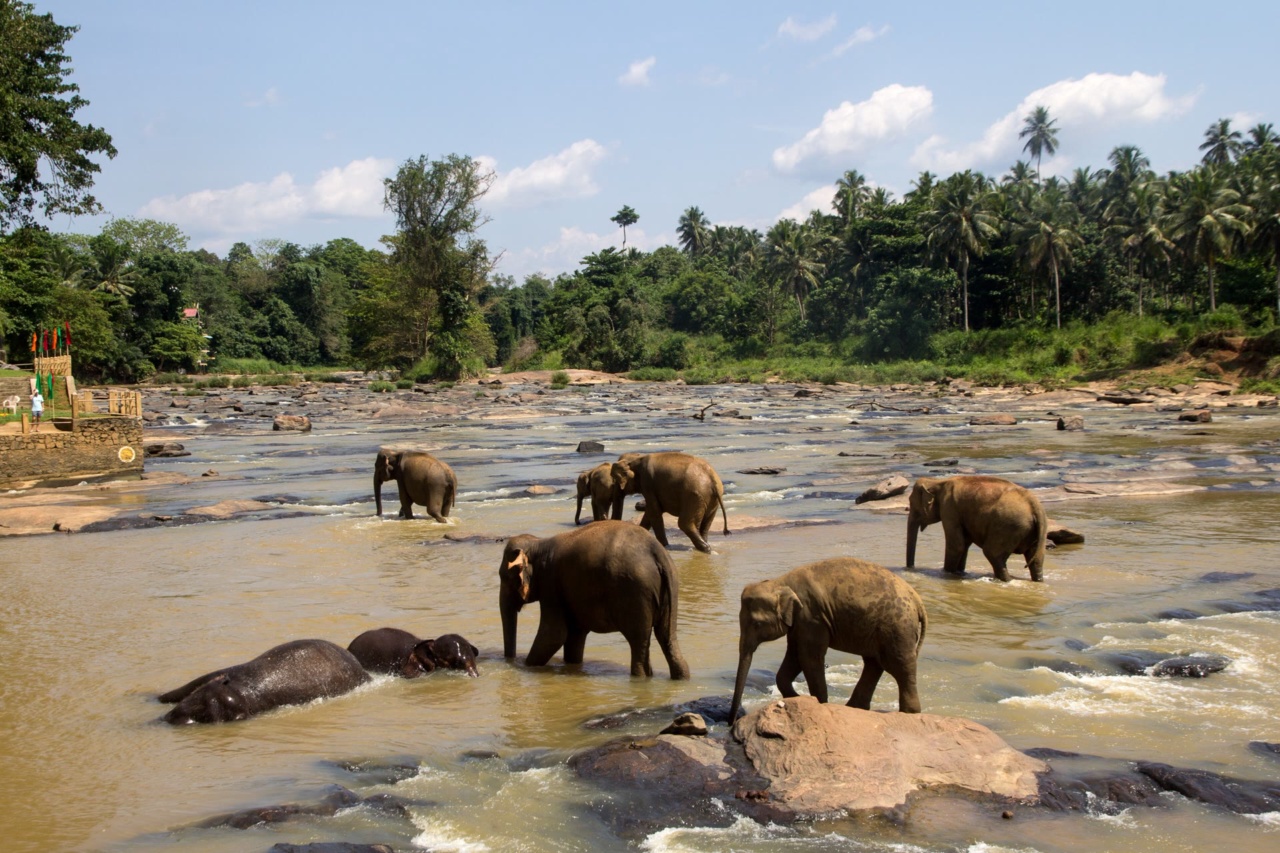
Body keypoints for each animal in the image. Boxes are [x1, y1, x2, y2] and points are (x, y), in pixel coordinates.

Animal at [499, 520, 690, 679]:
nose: (509, 662)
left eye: (504, 577)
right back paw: (681, 677)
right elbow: (574, 635)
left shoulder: (551, 586)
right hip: (670, 587)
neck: (538, 543)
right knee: (667, 636)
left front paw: (525, 666)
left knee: (638, 641)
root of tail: (657, 551)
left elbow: (554, 634)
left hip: (635, 592)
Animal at [728, 558, 927, 722]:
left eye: (757, 623)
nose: (731, 723)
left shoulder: (811, 617)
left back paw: (909, 713)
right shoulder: (800, 623)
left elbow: (809, 658)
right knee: (874, 663)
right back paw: (854, 708)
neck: (780, 582)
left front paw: (819, 703)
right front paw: (796, 698)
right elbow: (794, 656)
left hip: (898, 629)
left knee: (900, 667)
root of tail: (918, 600)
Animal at [905, 475, 1047, 582]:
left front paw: (946, 573)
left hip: (1008, 526)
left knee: (992, 553)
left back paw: (1006, 580)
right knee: (1036, 560)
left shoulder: (949, 509)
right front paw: (959, 573)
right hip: (1036, 531)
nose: (910, 569)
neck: (937, 482)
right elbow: (964, 545)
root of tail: (1033, 504)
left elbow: (957, 545)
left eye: (911, 503)